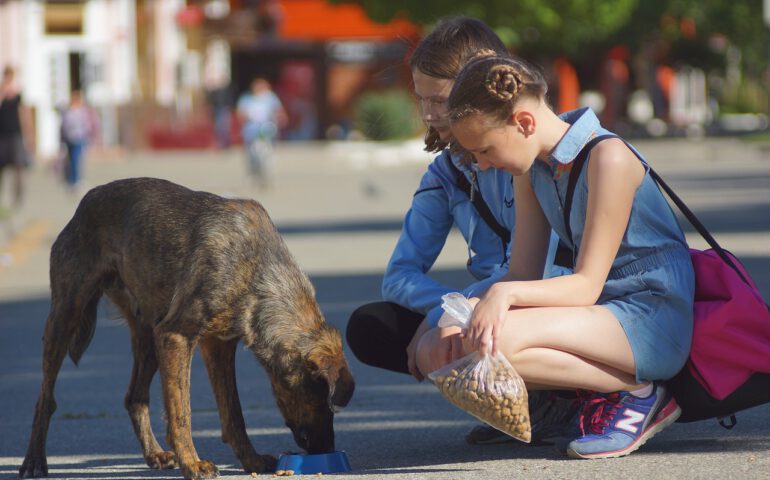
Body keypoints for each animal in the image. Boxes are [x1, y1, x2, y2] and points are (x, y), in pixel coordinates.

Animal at [18, 177, 354, 480]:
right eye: (323, 401)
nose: (326, 448)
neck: (257, 270)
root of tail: (86, 202)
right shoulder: (176, 336)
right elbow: (182, 411)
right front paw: (192, 464)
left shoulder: (218, 344)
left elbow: (233, 413)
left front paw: (251, 460)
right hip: (66, 314)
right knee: (45, 398)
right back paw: (34, 461)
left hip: (148, 336)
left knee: (134, 397)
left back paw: (154, 454)